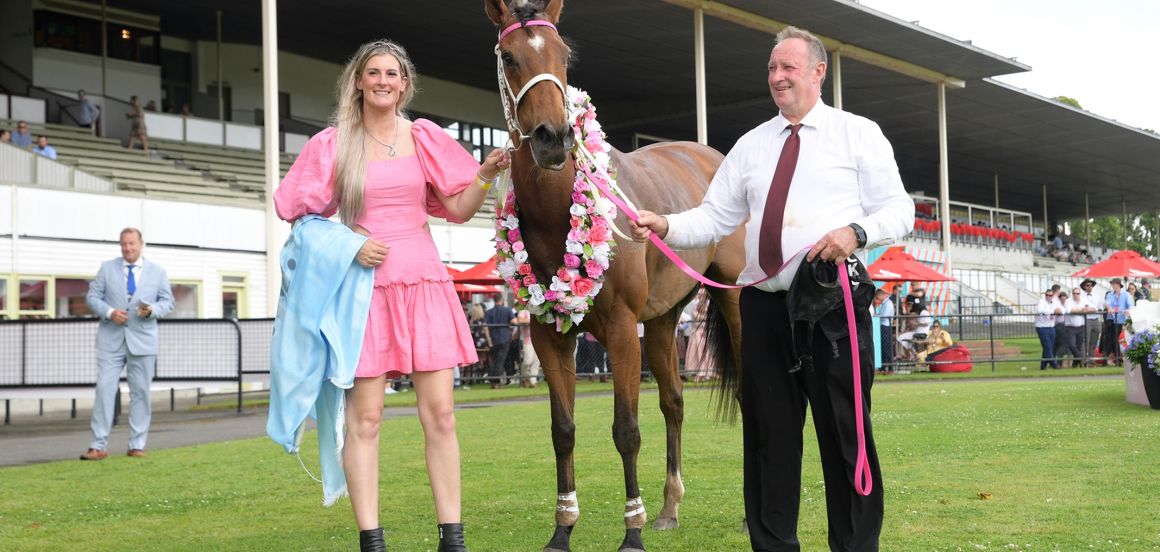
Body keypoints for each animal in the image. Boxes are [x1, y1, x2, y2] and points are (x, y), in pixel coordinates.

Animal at [484, 2, 747, 549]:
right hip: (665, 320)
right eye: (509, 56)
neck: (556, 213)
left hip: (731, 299)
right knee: (673, 402)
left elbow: (626, 429)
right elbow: (563, 430)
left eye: (563, 54)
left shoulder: (625, 330)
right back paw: (669, 507)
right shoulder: (547, 333)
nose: (554, 137)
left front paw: (632, 532)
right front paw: (562, 528)